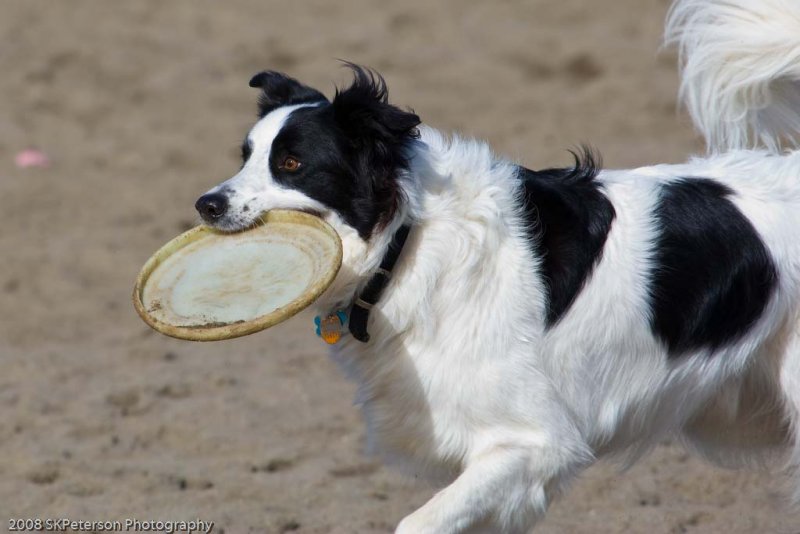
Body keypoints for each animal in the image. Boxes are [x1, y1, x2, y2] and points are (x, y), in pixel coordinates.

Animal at [194, 0, 800, 532]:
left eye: (292, 163)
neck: (406, 243)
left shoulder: (535, 442)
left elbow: (415, 522)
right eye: (244, 157)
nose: (206, 205)